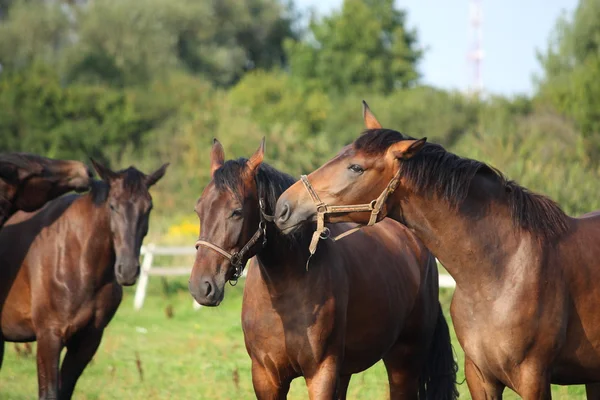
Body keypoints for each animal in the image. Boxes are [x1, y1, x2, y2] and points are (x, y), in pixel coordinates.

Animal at [190, 139, 458, 398]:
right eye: (198, 209)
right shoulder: (266, 377)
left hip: (403, 363)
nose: (201, 287)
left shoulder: (321, 374)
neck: (287, 285)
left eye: (236, 211)